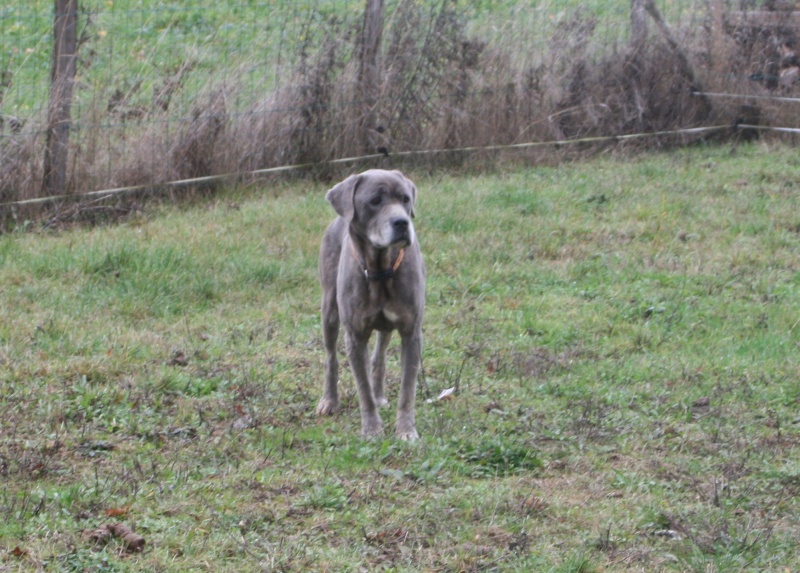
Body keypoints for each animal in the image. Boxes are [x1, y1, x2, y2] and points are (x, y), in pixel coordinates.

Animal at [316, 169, 424, 438]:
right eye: (375, 201)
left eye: (405, 199)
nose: (402, 223)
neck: (380, 268)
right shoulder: (354, 335)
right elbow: (362, 387)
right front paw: (372, 429)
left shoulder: (411, 331)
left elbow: (407, 389)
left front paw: (406, 430)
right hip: (329, 308)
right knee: (331, 357)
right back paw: (329, 401)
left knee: (379, 356)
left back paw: (379, 394)